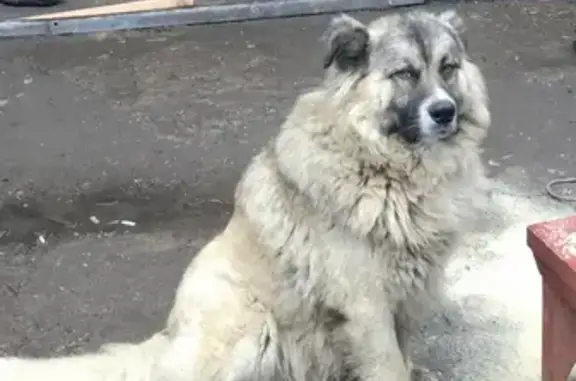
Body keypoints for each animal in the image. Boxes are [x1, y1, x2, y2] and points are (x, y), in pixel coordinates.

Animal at [1, 8, 496, 380]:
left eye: (448, 67)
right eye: (404, 74)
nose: (444, 112)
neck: (387, 167)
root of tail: (167, 337)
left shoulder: (407, 299)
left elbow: (404, 357)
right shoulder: (367, 306)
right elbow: (389, 366)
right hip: (251, 327)